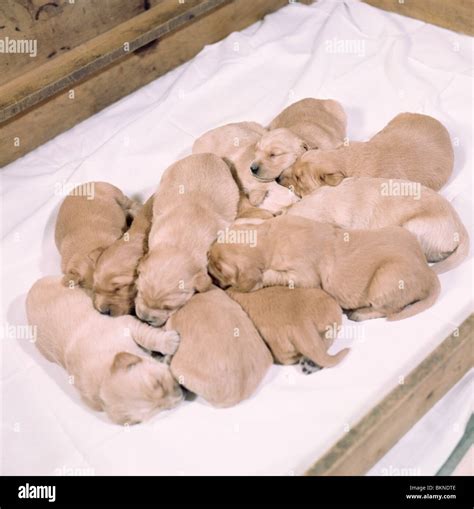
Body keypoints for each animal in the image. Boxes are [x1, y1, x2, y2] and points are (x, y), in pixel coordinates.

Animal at [25, 276, 182, 422]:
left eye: (158, 383)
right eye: (161, 409)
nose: (181, 395)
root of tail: (30, 290)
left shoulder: (126, 324)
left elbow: (147, 336)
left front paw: (170, 342)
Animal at [209, 215, 438, 322]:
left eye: (218, 269)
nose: (207, 264)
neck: (267, 238)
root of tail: (428, 272)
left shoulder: (304, 276)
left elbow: (271, 275)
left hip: (385, 280)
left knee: (388, 309)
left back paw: (358, 314)